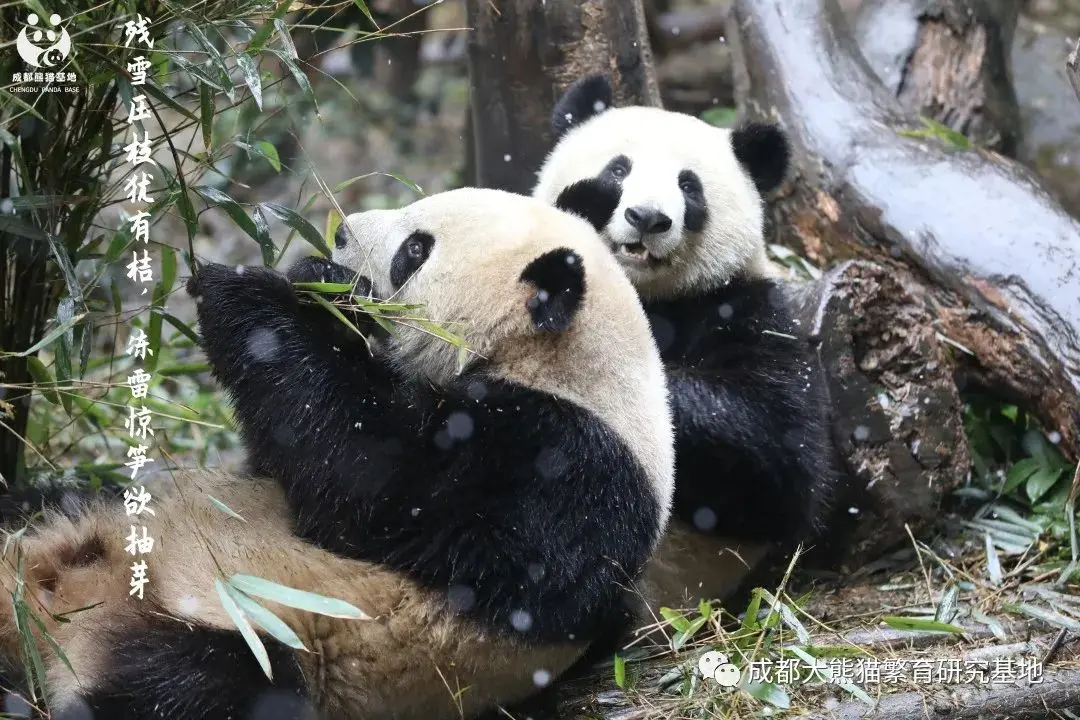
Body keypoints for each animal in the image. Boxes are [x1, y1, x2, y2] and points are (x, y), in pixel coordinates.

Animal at [0, 189, 673, 720]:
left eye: (415, 250)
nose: (339, 232)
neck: (564, 367)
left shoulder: (564, 468)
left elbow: (367, 488)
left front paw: (248, 292)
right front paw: (318, 279)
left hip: (251, 630)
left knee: (191, 686)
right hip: (101, 511)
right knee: (42, 504)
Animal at [531, 76, 833, 621]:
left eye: (689, 186)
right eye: (618, 168)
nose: (646, 218)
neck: (646, 296)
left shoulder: (749, 311)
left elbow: (783, 459)